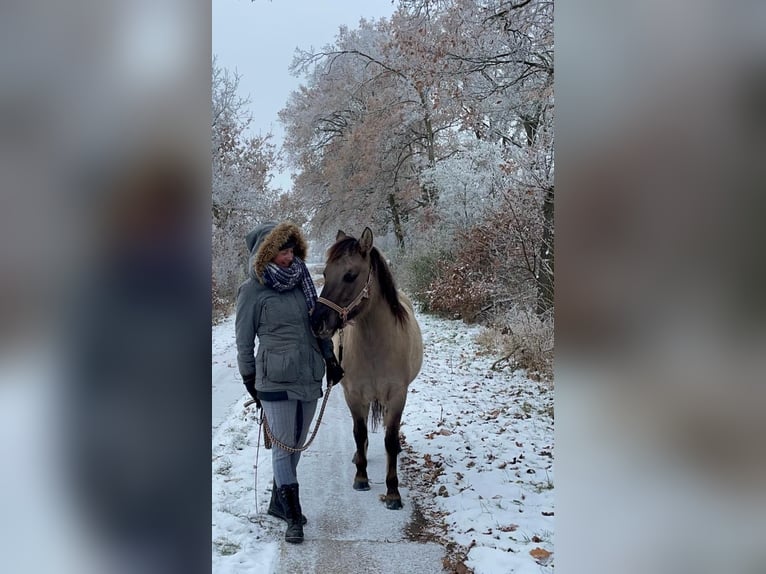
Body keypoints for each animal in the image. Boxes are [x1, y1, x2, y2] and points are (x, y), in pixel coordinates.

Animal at [308, 227, 424, 510]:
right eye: (325, 273)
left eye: (350, 275)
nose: (316, 322)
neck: (376, 346)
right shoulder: (353, 395)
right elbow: (359, 433)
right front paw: (360, 477)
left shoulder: (397, 396)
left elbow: (390, 439)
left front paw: (393, 493)